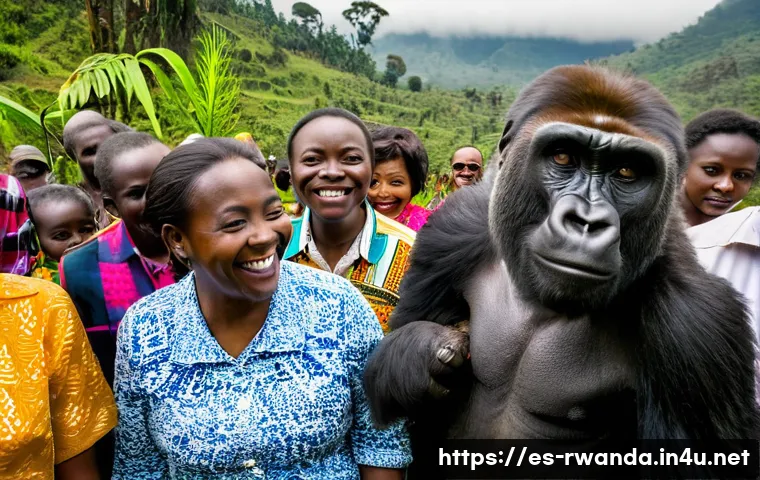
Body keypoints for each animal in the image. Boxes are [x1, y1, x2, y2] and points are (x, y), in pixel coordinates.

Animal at [363, 65, 759, 477]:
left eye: (627, 170)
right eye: (564, 157)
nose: (586, 222)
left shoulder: (699, 329)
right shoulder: (454, 229)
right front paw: (414, 354)